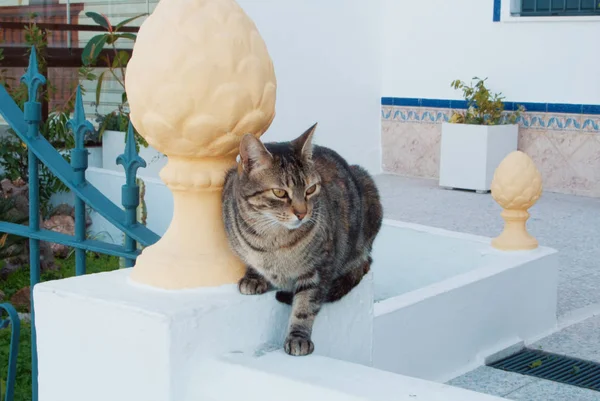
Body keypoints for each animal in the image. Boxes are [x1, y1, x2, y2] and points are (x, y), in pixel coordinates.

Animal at [223, 123, 382, 354]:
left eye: (311, 189)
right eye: (279, 193)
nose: (302, 213)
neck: (272, 239)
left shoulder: (319, 268)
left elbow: (305, 307)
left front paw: (298, 337)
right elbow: (252, 261)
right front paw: (254, 276)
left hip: (368, 191)